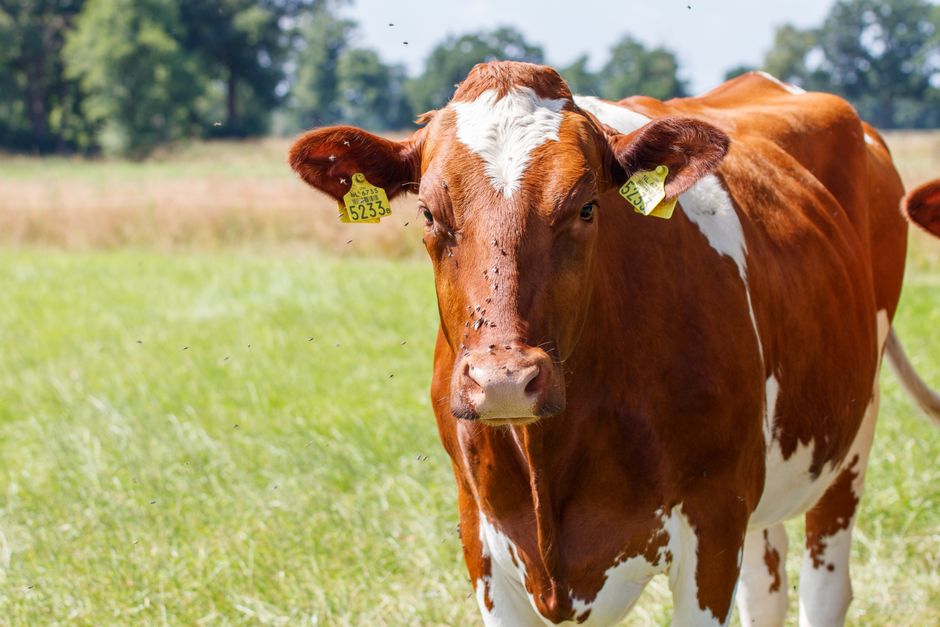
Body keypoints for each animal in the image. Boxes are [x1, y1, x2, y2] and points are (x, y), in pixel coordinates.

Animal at [288, 62, 940, 626]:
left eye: (586, 207)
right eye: (427, 212)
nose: (503, 381)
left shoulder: (713, 527)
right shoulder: (482, 543)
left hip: (849, 436)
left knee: (825, 589)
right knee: (768, 590)